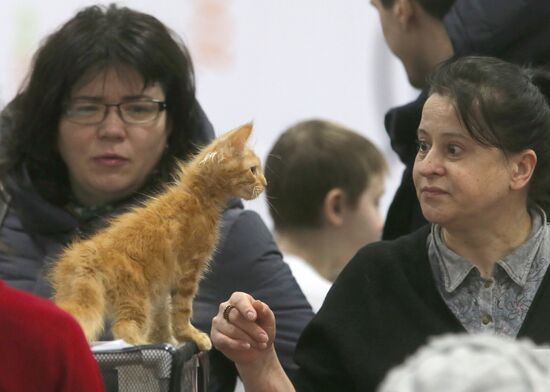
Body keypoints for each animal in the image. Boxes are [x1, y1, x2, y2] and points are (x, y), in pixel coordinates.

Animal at [49, 122, 268, 350]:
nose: (265, 183)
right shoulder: (187, 271)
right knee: (124, 327)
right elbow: (181, 312)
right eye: (253, 170)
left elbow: (162, 317)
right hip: (136, 296)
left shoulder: (161, 284)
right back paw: (140, 345)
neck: (198, 198)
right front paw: (189, 336)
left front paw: (167, 340)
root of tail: (82, 259)